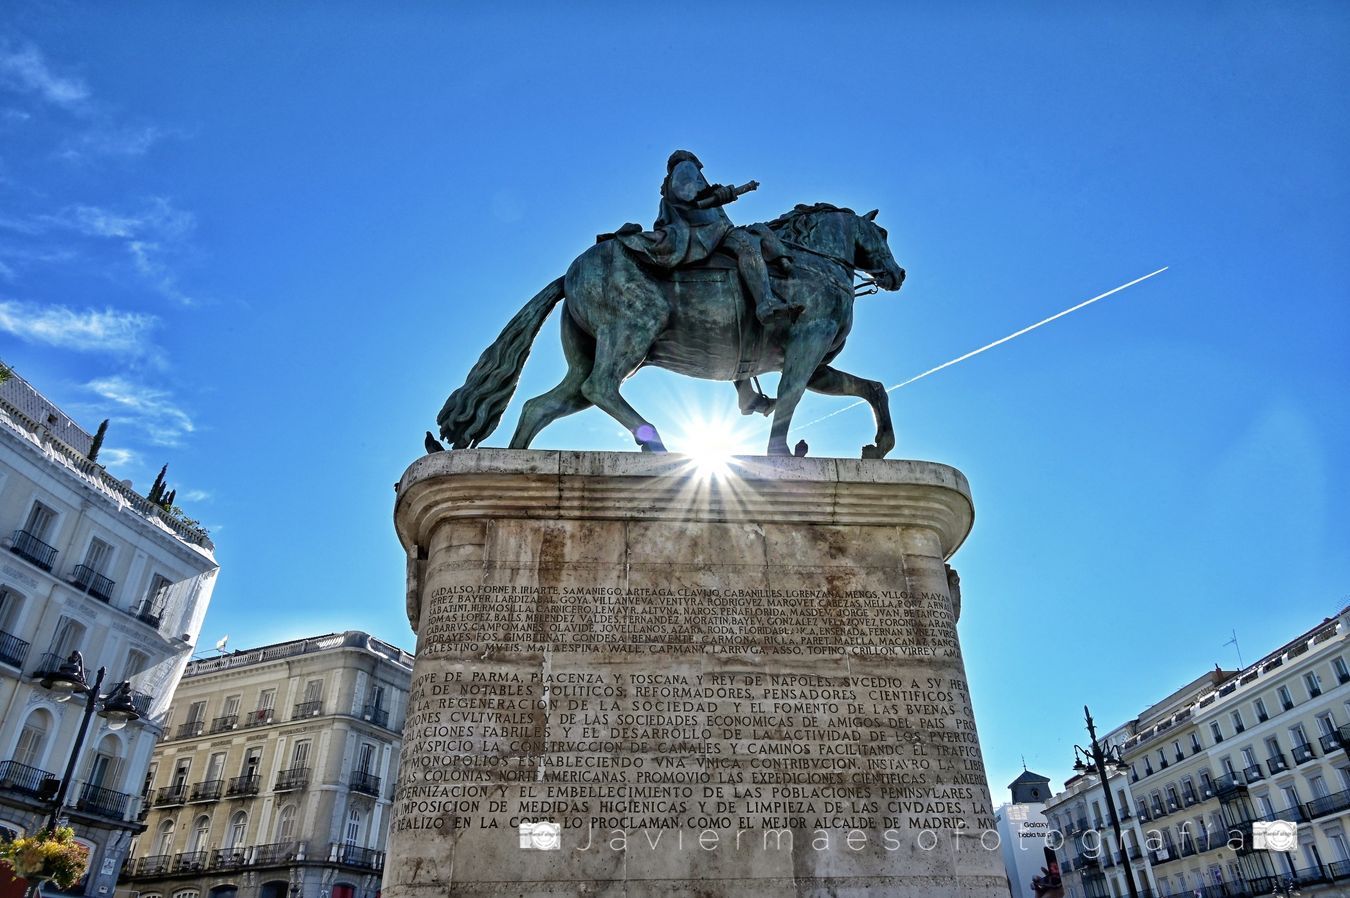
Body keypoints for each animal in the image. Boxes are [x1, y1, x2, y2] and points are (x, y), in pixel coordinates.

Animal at [437, 202, 907, 456]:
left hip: (592, 350)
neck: (812, 261)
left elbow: (872, 388)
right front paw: (781, 453)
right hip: (632, 333)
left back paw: (511, 463)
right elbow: (791, 396)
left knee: (543, 404)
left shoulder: (818, 361)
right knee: (599, 386)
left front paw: (878, 447)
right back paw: (656, 444)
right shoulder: (808, 343)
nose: (898, 274)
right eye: (883, 232)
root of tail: (570, 274)